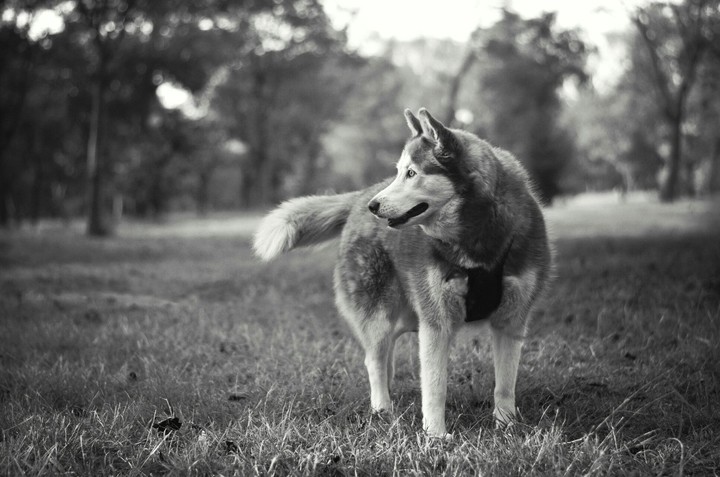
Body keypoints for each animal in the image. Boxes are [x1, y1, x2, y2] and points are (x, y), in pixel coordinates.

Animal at [253, 108, 552, 437]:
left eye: (412, 173)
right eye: (399, 171)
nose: (374, 207)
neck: (476, 240)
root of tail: (361, 195)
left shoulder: (511, 320)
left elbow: (505, 384)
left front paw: (506, 425)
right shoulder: (436, 323)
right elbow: (435, 386)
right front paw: (436, 435)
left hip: (407, 313)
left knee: (387, 354)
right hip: (379, 312)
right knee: (373, 358)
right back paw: (382, 407)